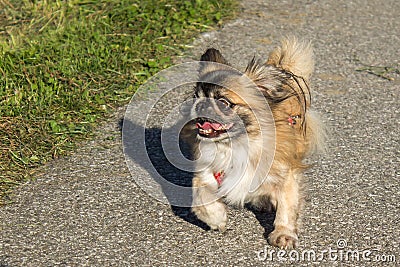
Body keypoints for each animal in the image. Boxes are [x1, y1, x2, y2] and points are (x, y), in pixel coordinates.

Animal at [186, 37, 326, 249]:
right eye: (196, 96)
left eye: (224, 102)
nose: (200, 104)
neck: (236, 146)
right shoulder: (206, 174)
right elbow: (200, 198)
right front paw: (217, 219)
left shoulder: (286, 175)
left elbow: (287, 207)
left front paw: (284, 234)